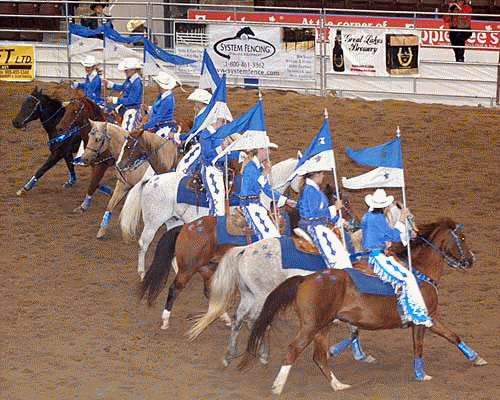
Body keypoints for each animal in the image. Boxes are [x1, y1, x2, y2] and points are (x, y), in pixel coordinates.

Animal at [121, 155, 302, 280]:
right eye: (304, 176)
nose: (298, 200)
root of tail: (151, 180)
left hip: (173, 221)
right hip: (152, 223)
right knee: (143, 244)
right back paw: (142, 272)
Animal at [238, 220, 488, 396]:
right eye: (462, 237)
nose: (471, 260)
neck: (419, 272)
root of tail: (306, 278)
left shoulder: (429, 318)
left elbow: (452, 336)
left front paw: (476, 359)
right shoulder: (423, 319)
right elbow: (423, 346)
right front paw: (422, 375)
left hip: (323, 327)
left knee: (319, 357)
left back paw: (338, 385)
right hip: (312, 326)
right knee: (293, 350)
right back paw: (278, 386)